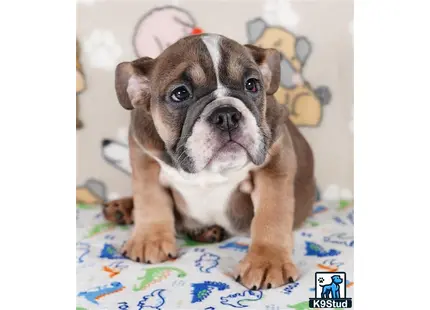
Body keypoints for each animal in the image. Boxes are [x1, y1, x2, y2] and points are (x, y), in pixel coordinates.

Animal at [114, 32, 316, 290]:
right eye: (180, 93)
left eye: (252, 84)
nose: (227, 115)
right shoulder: (144, 155)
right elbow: (150, 199)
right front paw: (150, 239)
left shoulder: (275, 163)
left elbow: (272, 214)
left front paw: (267, 261)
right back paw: (121, 208)